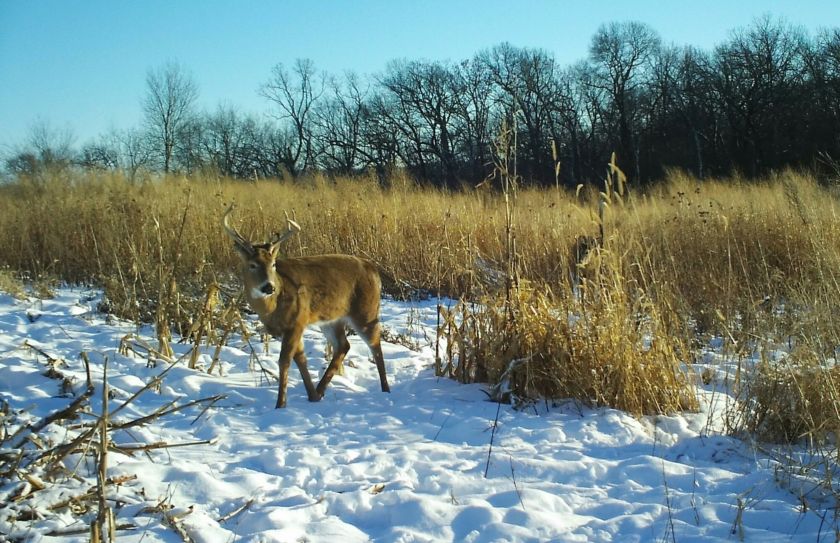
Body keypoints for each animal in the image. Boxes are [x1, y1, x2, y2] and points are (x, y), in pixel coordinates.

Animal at [223, 206, 394, 410]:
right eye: (252, 265)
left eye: (273, 264)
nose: (268, 287)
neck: (272, 308)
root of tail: (372, 268)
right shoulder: (291, 326)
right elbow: (301, 358)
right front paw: (311, 395)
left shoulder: (297, 321)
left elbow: (285, 360)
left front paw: (280, 404)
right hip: (331, 319)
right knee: (343, 345)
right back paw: (320, 390)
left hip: (365, 310)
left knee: (375, 345)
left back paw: (385, 389)